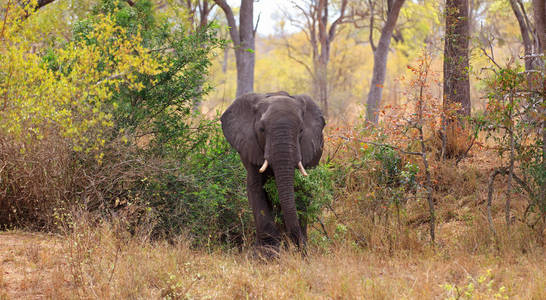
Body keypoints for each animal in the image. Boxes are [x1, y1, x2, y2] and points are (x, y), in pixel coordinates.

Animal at [220, 91, 324, 255]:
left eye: (301, 130)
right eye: (262, 129)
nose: (302, 252)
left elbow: (301, 191)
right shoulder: (251, 148)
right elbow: (256, 189)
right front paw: (267, 253)